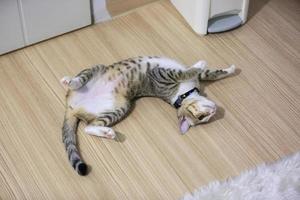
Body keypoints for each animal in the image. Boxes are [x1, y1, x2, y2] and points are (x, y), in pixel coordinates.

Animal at [59, 56, 236, 175]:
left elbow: (211, 73)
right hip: (97, 68)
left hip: (121, 107)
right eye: (201, 117)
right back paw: (69, 81)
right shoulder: (161, 74)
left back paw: (108, 132)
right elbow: (191, 72)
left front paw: (230, 69)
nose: (213, 112)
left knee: (89, 127)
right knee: (80, 80)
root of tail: (72, 106)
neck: (182, 94)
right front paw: (203, 64)